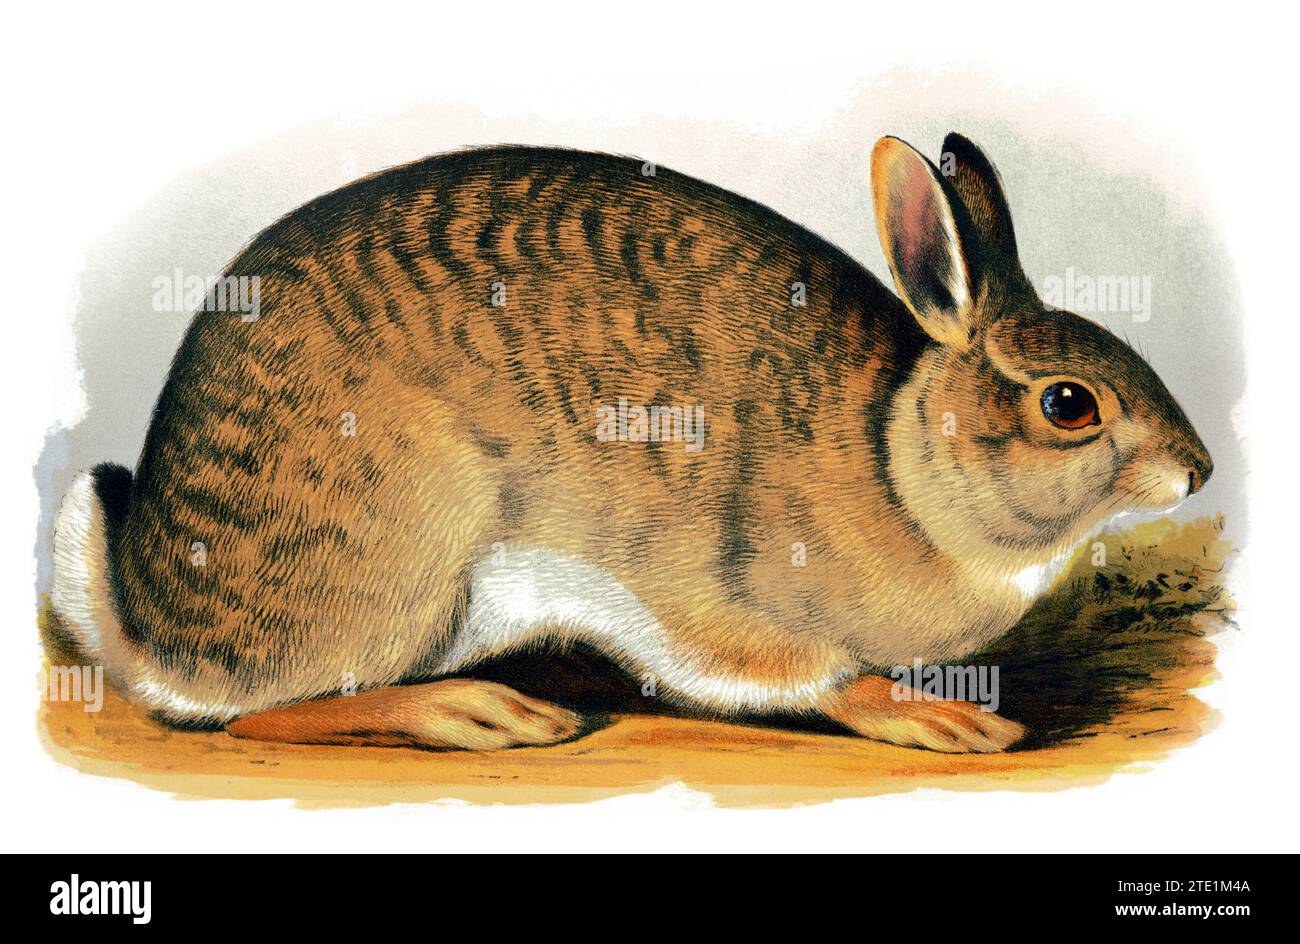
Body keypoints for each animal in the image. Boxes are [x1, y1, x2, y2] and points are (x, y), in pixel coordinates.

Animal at [50, 132, 1212, 754]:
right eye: (1069, 404)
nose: (1197, 469)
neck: (906, 463)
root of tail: (151, 620)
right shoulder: (725, 601)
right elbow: (808, 676)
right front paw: (933, 718)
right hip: (398, 555)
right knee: (264, 715)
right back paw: (479, 712)